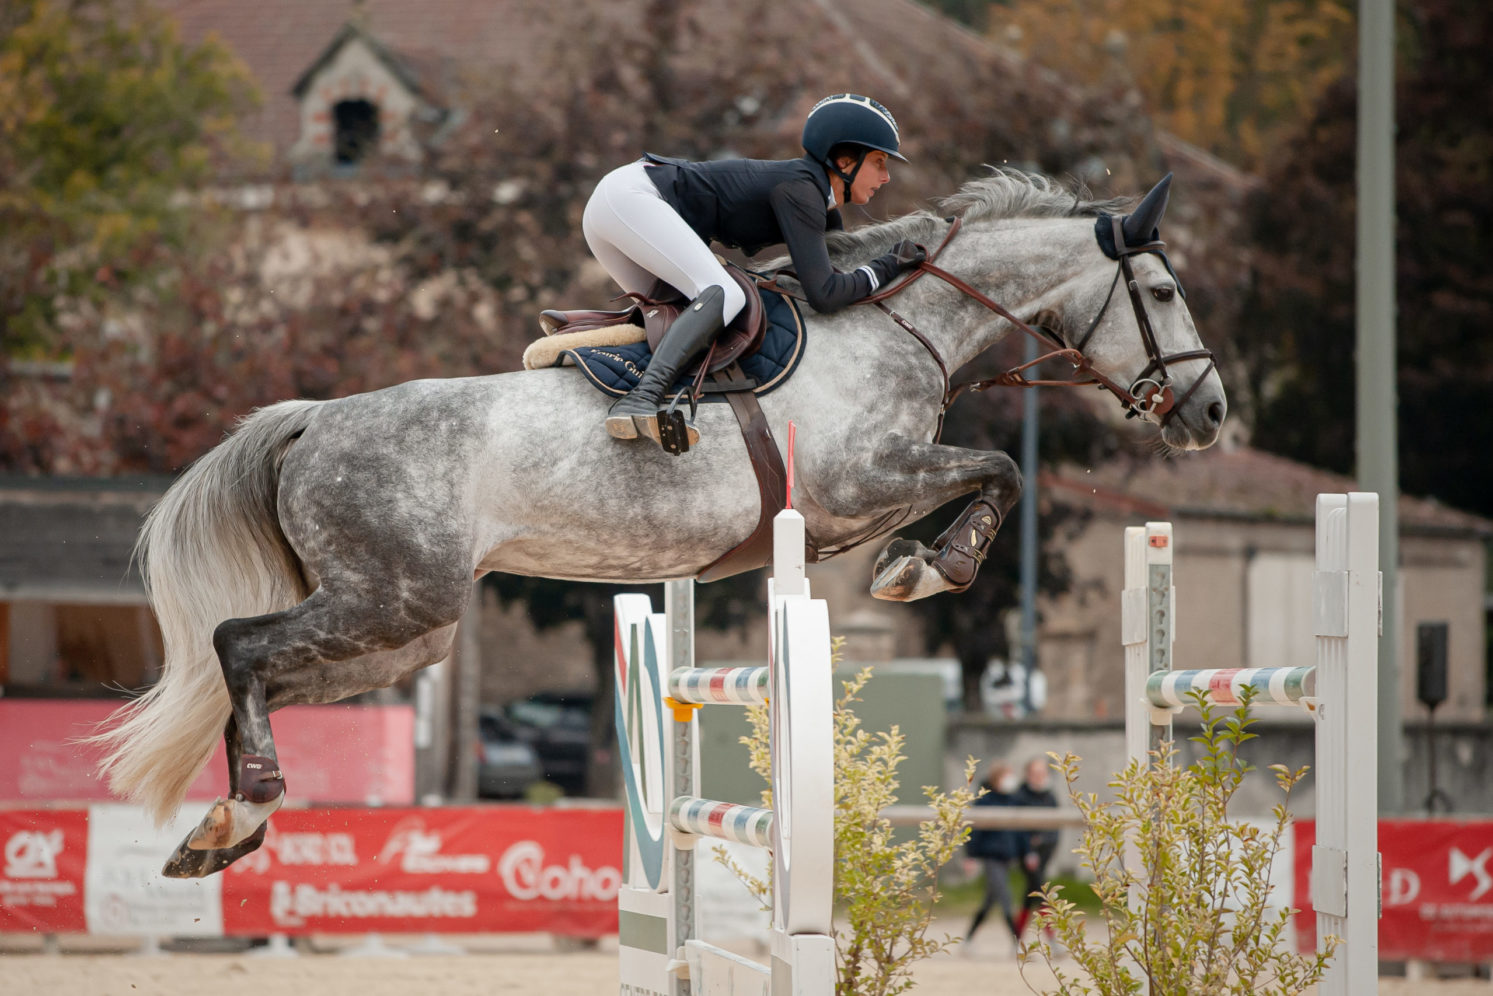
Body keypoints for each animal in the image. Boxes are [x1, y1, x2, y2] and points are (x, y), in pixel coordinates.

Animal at [93, 167, 1224, 878]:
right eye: (1164, 288)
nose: (1211, 414)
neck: (904, 324)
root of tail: (312, 419)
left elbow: (994, 470)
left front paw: (919, 565)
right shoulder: (858, 483)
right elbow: (1000, 469)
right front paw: (928, 567)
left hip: (408, 629)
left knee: (262, 675)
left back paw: (221, 826)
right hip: (390, 600)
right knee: (237, 645)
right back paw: (243, 807)